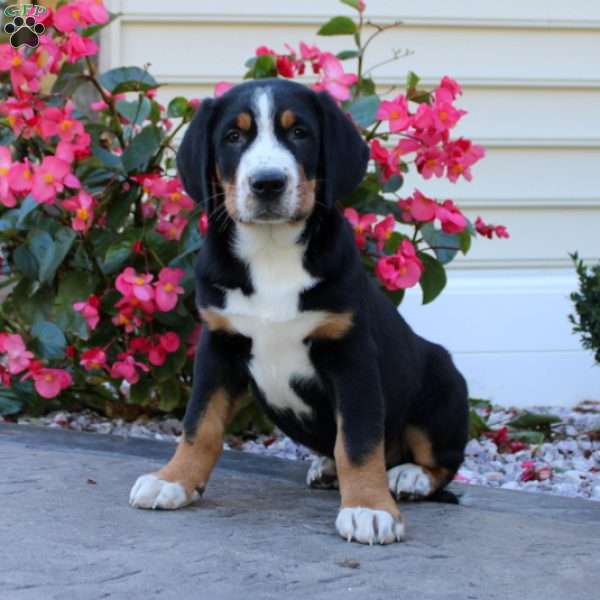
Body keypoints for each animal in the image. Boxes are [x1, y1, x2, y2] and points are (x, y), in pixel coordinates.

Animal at [130, 78, 468, 544]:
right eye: (233, 137)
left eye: (299, 133)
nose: (268, 183)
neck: (272, 251)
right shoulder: (219, 345)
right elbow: (200, 424)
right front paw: (173, 480)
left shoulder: (351, 354)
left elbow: (358, 440)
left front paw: (368, 507)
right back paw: (328, 469)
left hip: (444, 384)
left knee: (442, 462)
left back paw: (408, 476)